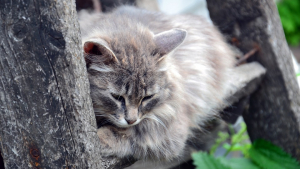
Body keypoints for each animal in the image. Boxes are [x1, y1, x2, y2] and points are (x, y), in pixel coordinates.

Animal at [78, 5, 236, 162]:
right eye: (117, 97)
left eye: (147, 97)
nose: (131, 120)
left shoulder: (167, 126)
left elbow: (130, 133)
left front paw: (100, 138)